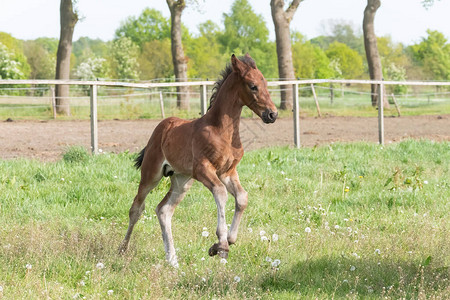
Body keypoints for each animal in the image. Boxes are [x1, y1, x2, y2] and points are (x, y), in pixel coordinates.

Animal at [118, 54, 278, 268]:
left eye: (266, 83)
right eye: (253, 86)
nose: (272, 114)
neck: (222, 131)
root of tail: (162, 127)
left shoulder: (228, 172)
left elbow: (242, 198)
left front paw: (226, 242)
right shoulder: (203, 169)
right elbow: (221, 193)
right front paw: (221, 245)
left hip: (181, 180)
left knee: (163, 210)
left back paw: (173, 261)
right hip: (151, 175)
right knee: (137, 208)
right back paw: (122, 250)